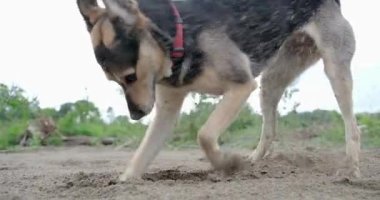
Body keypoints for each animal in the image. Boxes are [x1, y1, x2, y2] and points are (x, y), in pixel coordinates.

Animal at [76, 0, 360, 181]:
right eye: (113, 81)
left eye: (130, 76)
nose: (136, 115)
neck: (179, 32)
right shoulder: (167, 110)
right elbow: (140, 156)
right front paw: (124, 181)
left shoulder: (241, 86)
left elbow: (204, 135)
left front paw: (227, 164)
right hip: (271, 81)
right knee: (269, 129)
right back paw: (254, 159)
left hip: (335, 71)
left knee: (352, 126)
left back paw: (351, 170)